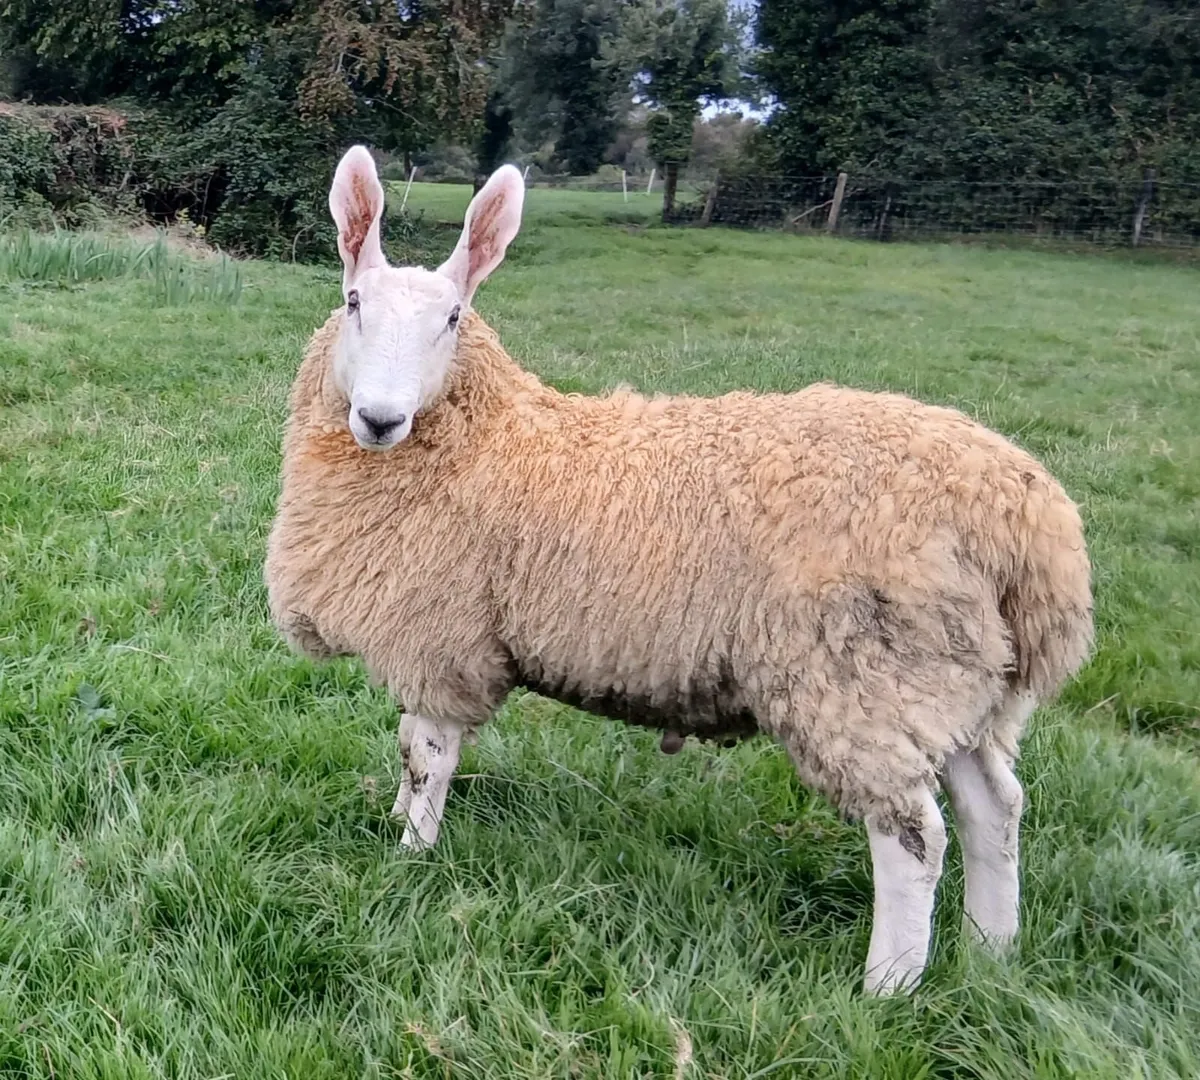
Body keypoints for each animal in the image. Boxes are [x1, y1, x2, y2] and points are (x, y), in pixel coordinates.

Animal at [264, 146, 1094, 996]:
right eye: (354, 302)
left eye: (453, 319)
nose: (381, 418)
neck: (489, 437)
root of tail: (1028, 521)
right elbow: (408, 753)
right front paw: (398, 828)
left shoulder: (443, 639)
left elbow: (426, 759)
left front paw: (411, 857)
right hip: (959, 680)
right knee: (994, 808)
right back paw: (992, 953)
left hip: (864, 678)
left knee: (914, 835)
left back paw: (886, 988)